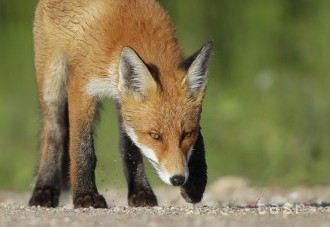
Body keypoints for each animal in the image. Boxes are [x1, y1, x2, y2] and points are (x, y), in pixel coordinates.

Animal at [29, 0, 213, 209]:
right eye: (155, 136)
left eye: (187, 134)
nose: (178, 179)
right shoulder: (81, 85)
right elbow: (82, 148)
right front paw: (86, 195)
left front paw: (196, 182)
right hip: (53, 82)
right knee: (54, 132)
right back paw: (44, 189)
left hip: (121, 100)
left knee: (127, 144)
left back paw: (141, 192)